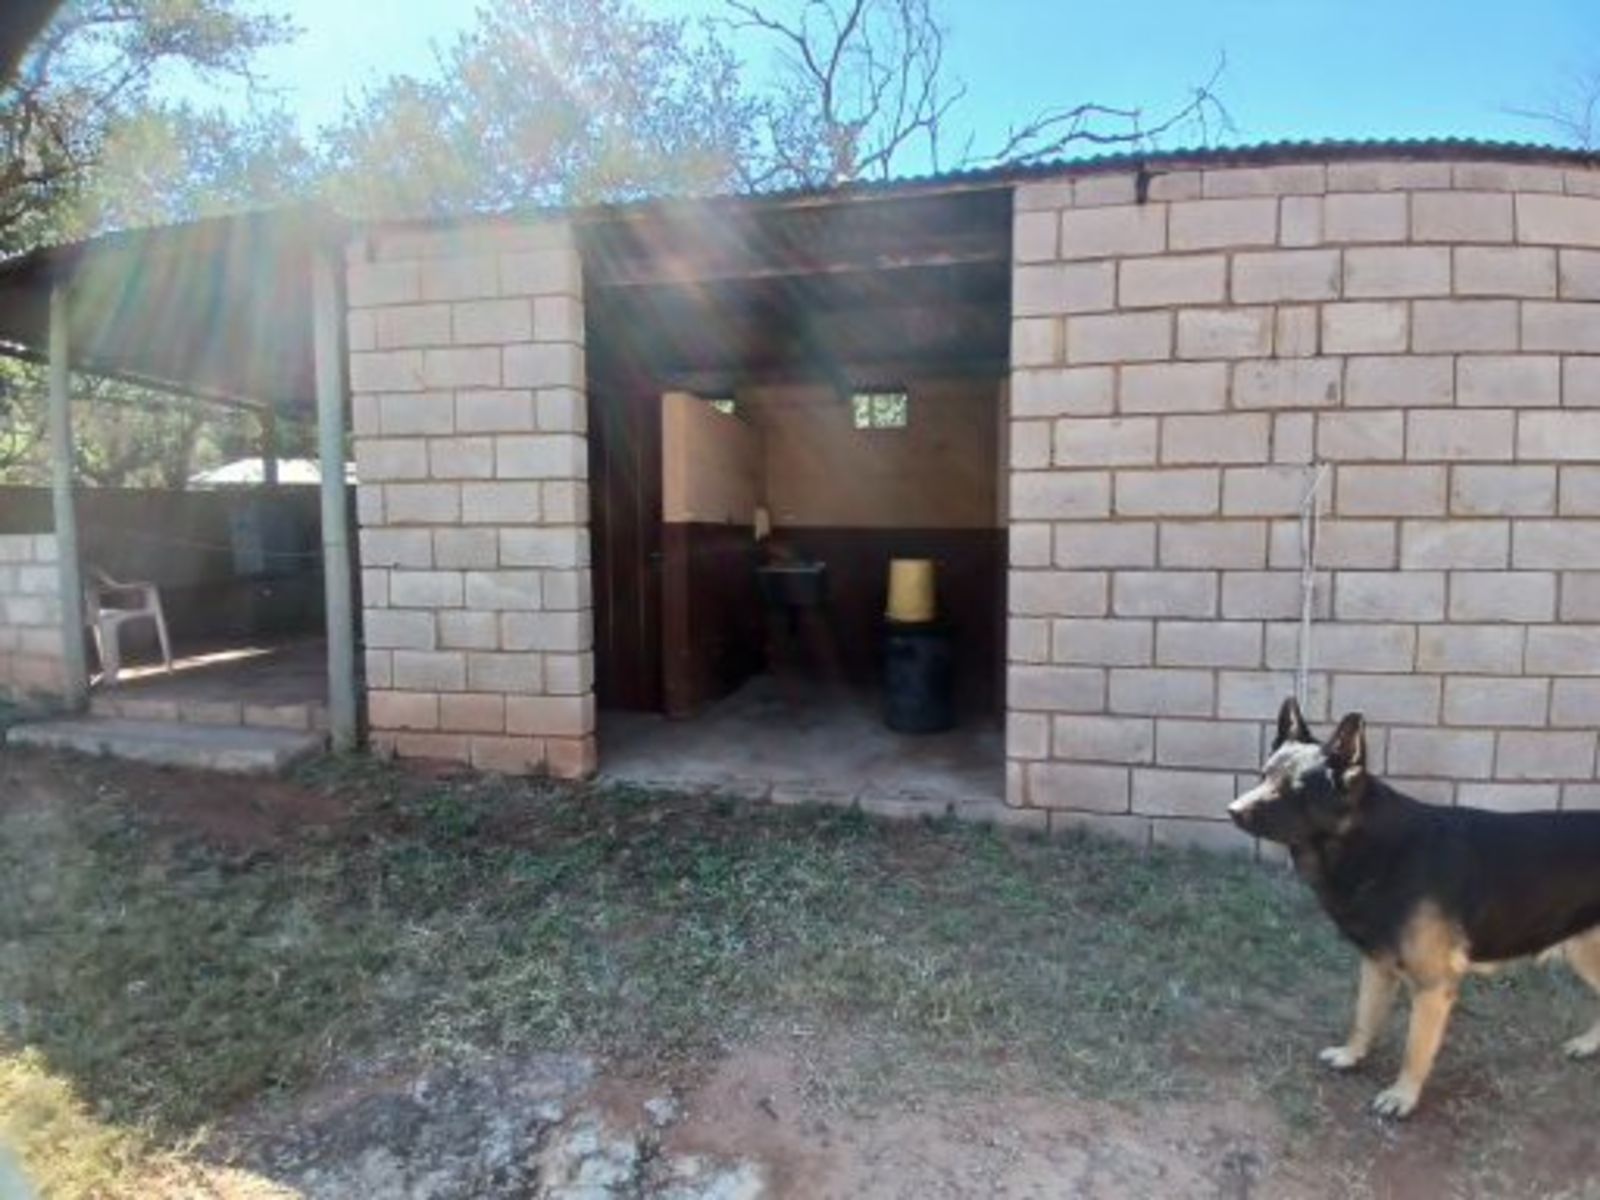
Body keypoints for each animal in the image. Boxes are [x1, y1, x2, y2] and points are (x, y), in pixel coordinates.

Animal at [1228, 697, 1600, 1118]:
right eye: (1264, 776)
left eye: (1295, 790)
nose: (1232, 810)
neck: (1375, 846)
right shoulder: (1376, 965)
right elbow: (1364, 1018)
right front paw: (1352, 1055)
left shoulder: (1432, 987)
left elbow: (1415, 1050)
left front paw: (1403, 1096)